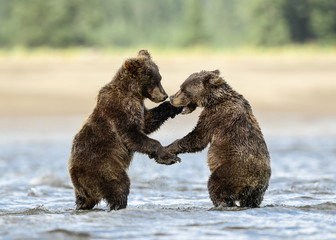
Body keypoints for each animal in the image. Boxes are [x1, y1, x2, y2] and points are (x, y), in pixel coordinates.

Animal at [68, 49, 182, 211]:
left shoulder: (138, 108)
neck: (134, 93)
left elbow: (147, 122)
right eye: (153, 79)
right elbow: (132, 135)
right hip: (103, 165)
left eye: (160, 78)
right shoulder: (120, 110)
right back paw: (119, 204)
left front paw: (174, 106)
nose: (164, 95)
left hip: (83, 187)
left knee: (84, 199)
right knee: (118, 184)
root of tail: (75, 173)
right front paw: (169, 156)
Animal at [167, 70, 272, 208]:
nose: (171, 97)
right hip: (258, 190)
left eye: (183, 89)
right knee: (251, 200)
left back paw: (222, 203)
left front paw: (169, 148)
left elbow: (198, 138)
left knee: (215, 186)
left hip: (231, 171)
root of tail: (253, 180)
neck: (215, 100)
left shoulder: (214, 116)